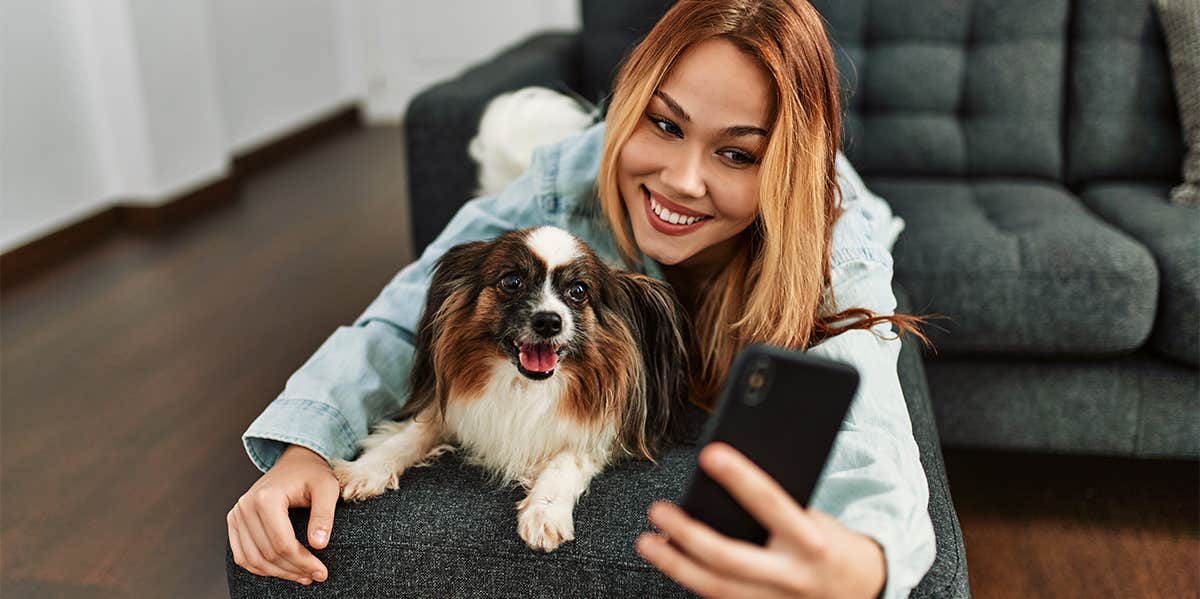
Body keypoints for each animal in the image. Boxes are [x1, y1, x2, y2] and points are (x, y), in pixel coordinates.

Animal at [333, 225, 691, 552]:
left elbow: (567, 460)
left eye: (578, 291)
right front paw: (365, 468)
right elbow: (414, 433)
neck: (524, 386)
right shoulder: (456, 408)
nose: (549, 321)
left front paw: (545, 511)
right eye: (511, 282)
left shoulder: (600, 432)